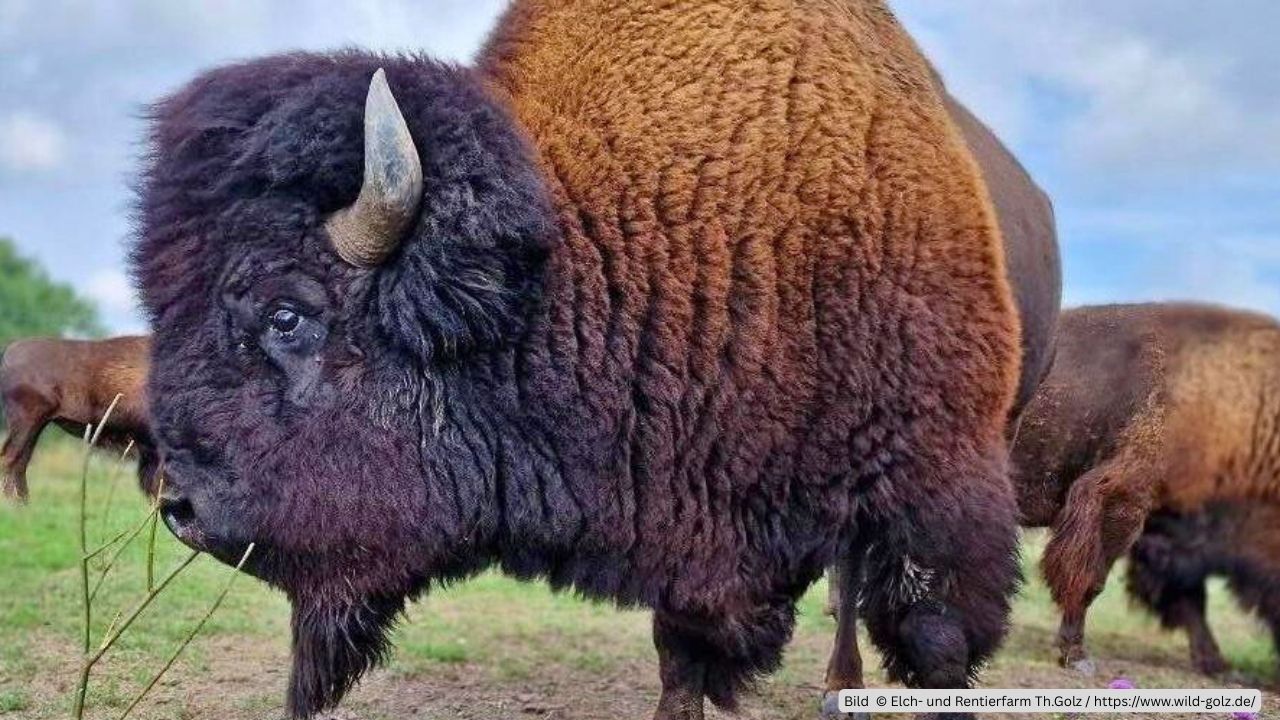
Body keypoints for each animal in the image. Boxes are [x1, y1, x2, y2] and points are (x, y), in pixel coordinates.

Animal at [131, 2, 1027, 717]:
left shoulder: (940, 491)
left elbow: (936, 641)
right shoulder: (688, 551)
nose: (179, 505)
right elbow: (682, 665)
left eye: (287, 315)